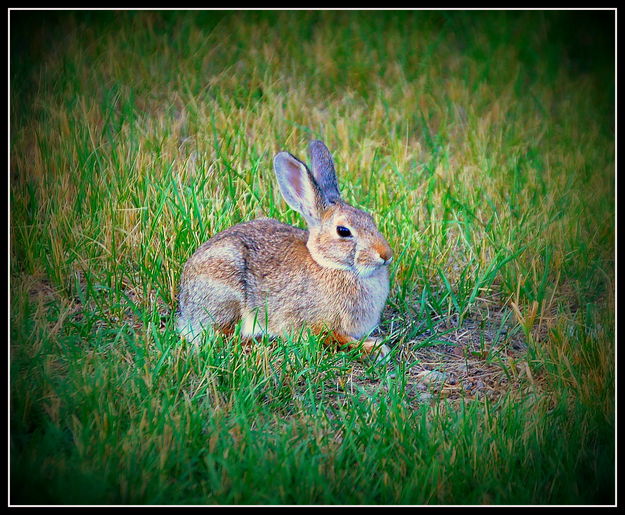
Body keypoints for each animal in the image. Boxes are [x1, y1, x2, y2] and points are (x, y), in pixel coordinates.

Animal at [174, 141, 390, 358]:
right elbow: (332, 338)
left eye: (370, 219)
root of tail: (186, 307)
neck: (330, 264)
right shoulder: (311, 324)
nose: (386, 255)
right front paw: (375, 348)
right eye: (343, 231)